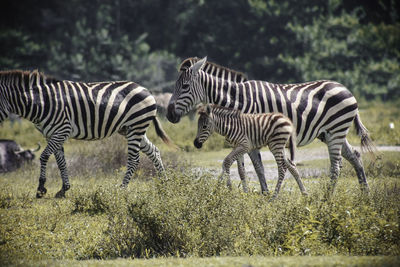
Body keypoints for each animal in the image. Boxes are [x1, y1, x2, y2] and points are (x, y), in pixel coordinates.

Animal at [0, 70, 173, 199]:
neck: (43, 102)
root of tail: (145, 89)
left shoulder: (62, 130)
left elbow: (44, 156)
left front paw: (41, 188)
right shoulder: (52, 134)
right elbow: (61, 161)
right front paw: (63, 189)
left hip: (136, 126)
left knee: (134, 159)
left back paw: (122, 188)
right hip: (131, 129)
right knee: (154, 151)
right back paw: (164, 185)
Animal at [166, 57, 376, 195]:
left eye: (184, 87)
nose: (168, 115)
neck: (238, 99)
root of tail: (345, 88)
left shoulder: (251, 134)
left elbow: (258, 167)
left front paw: (265, 194)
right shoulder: (242, 137)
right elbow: (242, 168)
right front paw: (245, 194)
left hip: (336, 130)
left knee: (336, 167)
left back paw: (327, 199)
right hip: (331, 133)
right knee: (354, 156)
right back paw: (365, 194)